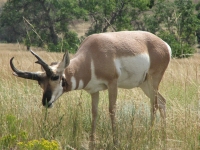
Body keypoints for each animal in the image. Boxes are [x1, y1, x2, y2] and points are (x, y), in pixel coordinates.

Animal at [10, 30, 171, 144]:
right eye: (40, 82)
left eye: (55, 77)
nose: (46, 102)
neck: (92, 56)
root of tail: (164, 45)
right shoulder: (94, 91)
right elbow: (94, 113)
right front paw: (92, 142)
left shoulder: (112, 84)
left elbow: (112, 110)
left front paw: (115, 142)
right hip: (144, 84)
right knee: (162, 102)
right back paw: (163, 137)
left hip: (153, 81)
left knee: (154, 105)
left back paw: (150, 136)